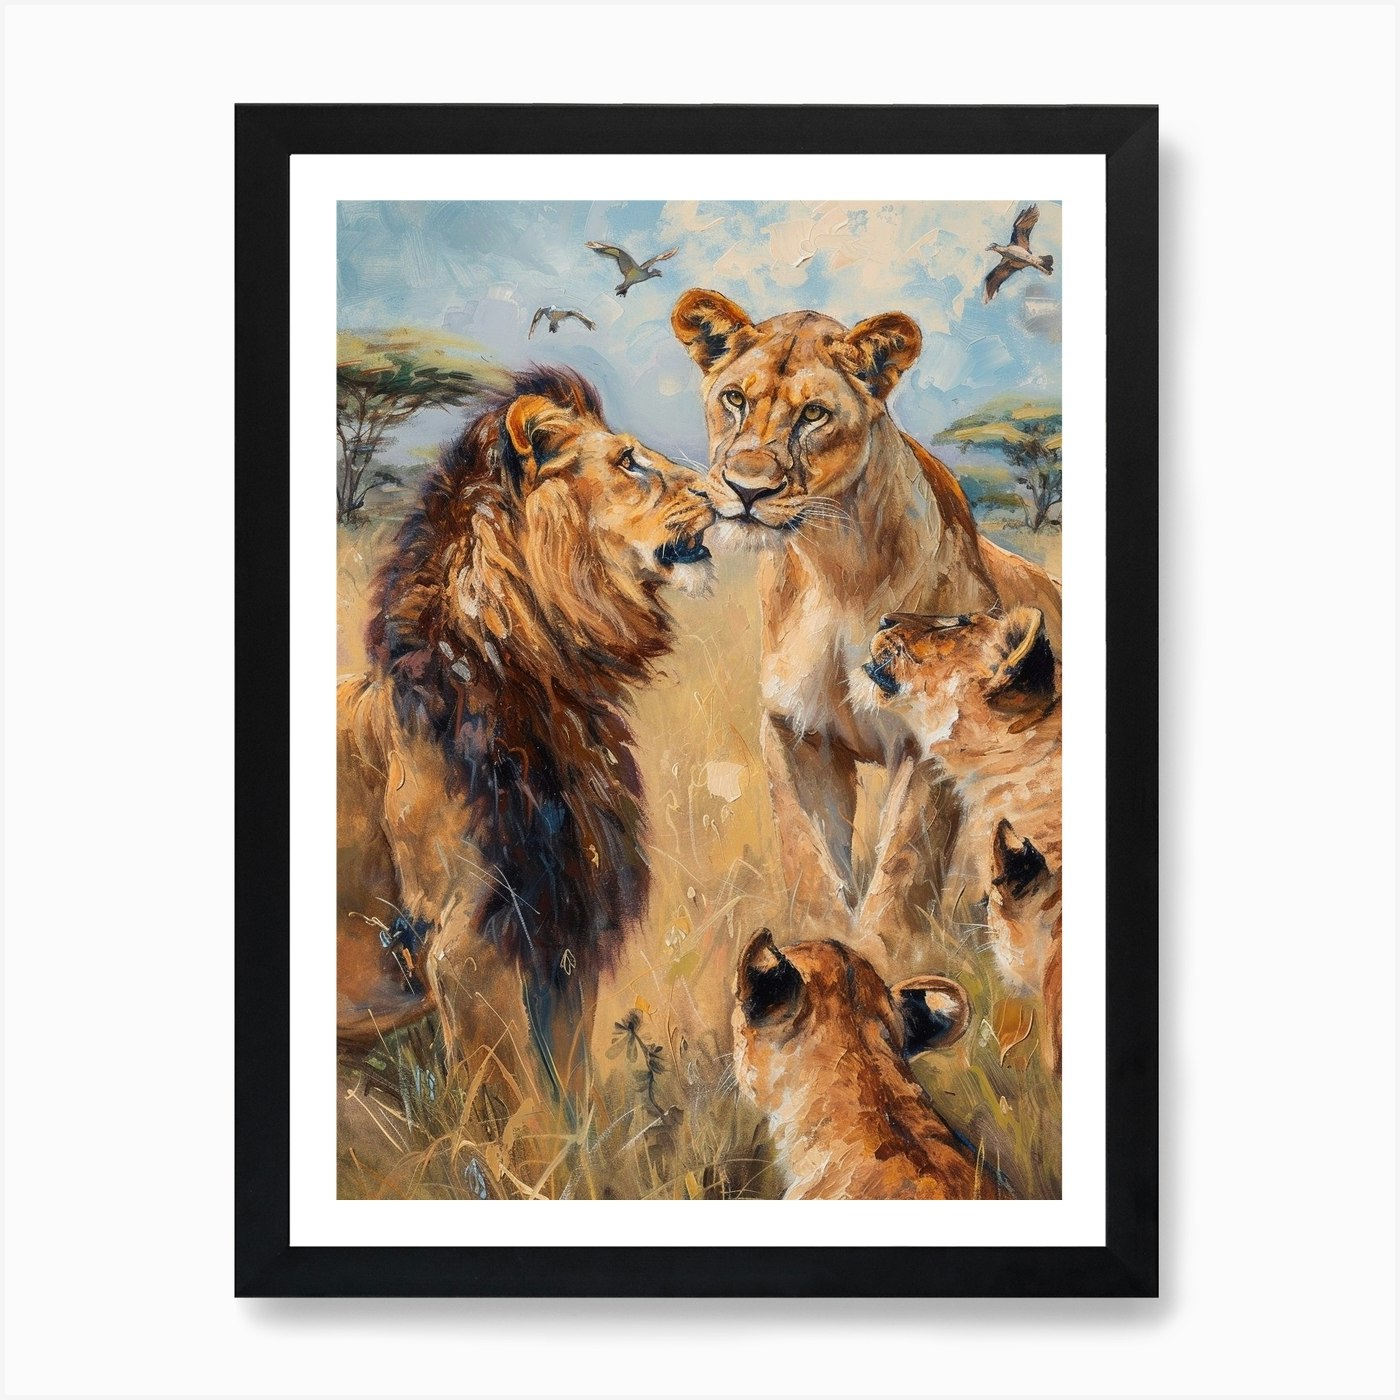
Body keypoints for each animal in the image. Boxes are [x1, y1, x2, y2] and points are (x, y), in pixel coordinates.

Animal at [337, 367, 715, 1108]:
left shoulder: (559, 931)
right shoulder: (467, 945)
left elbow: (571, 1094)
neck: (547, 692)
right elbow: (519, 1106)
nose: (726, 494)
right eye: (629, 461)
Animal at [670, 289, 1062, 971]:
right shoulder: (796, 730)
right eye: (735, 398)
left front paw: (884, 958)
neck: (835, 570)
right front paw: (818, 948)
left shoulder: (929, 742)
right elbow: (806, 851)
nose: (747, 490)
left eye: (814, 414)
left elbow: (905, 862)